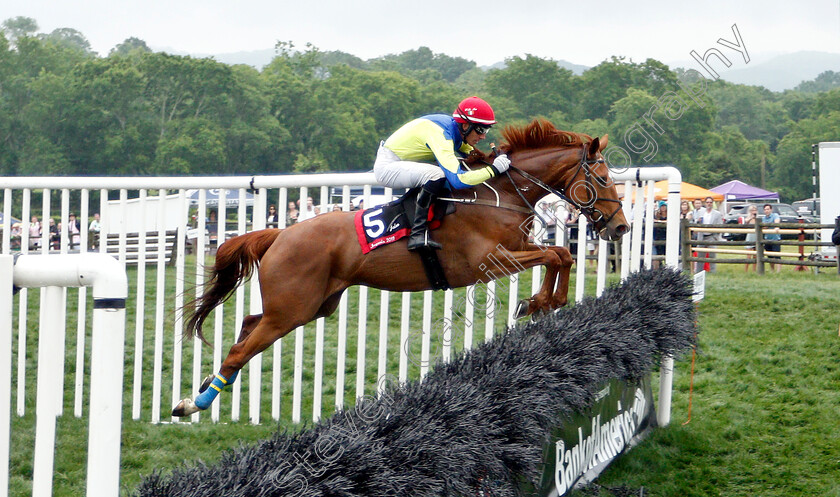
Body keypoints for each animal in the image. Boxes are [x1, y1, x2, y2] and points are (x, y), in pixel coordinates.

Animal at [174, 119, 628, 414]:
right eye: (603, 179)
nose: (620, 227)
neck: (496, 194)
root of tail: (280, 234)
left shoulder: (518, 247)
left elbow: (562, 256)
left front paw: (540, 303)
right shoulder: (488, 261)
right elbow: (555, 255)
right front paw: (537, 303)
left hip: (312, 305)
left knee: (248, 325)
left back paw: (207, 388)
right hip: (292, 309)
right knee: (240, 348)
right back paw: (192, 404)